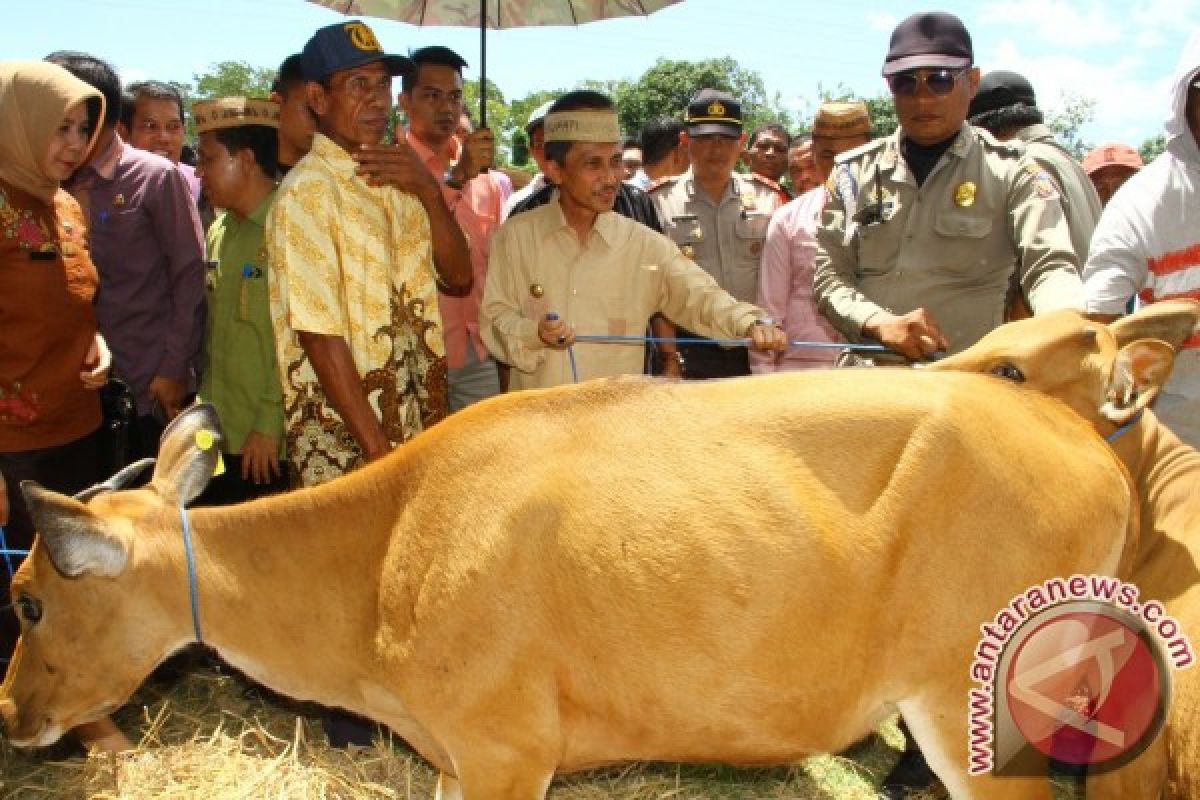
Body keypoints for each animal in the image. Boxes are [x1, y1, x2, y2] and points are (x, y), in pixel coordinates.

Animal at [0, 371, 1137, 800]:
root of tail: (1086, 437)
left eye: (29, 597)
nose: (10, 711)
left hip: (976, 707)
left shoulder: (506, 751)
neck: (380, 562)